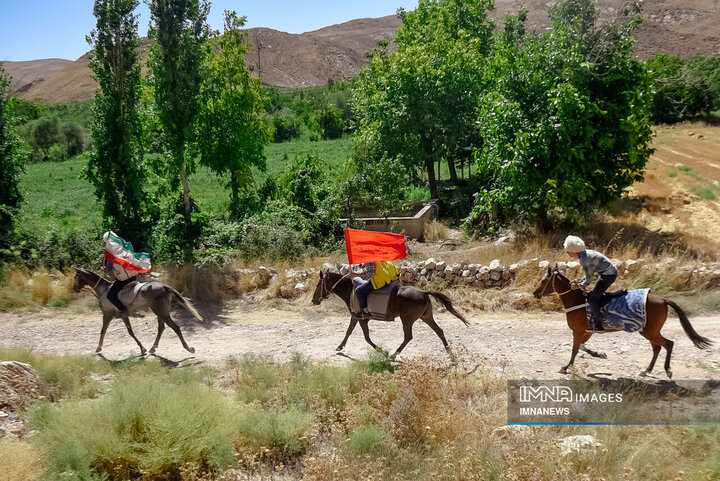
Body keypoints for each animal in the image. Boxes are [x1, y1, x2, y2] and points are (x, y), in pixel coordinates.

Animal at [73, 268, 201, 354]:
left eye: (75, 277)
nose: (74, 289)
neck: (103, 290)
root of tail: (165, 287)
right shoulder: (124, 316)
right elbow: (130, 332)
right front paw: (142, 349)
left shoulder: (107, 314)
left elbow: (103, 330)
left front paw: (98, 348)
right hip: (160, 312)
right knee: (161, 328)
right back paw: (153, 348)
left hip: (162, 312)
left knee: (175, 328)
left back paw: (189, 348)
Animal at [310, 272, 470, 358]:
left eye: (318, 285)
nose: (313, 300)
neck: (351, 292)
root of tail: (423, 292)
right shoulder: (356, 318)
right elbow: (349, 332)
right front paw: (340, 347)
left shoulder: (360, 318)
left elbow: (366, 337)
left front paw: (382, 351)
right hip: (426, 317)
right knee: (439, 331)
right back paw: (451, 355)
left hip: (407, 319)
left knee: (408, 336)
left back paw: (394, 354)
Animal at [532, 264, 712, 376]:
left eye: (543, 280)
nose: (535, 293)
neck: (577, 301)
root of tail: (662, 299)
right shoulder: (587, 331)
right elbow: (582, 347)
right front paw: (599, 354)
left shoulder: (578, 330)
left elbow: (575, 349)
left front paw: (565, 367)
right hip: (648, 331)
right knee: (657, 348)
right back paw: (646, 370)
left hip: (651, 331)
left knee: (668, 344)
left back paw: (667, 370)